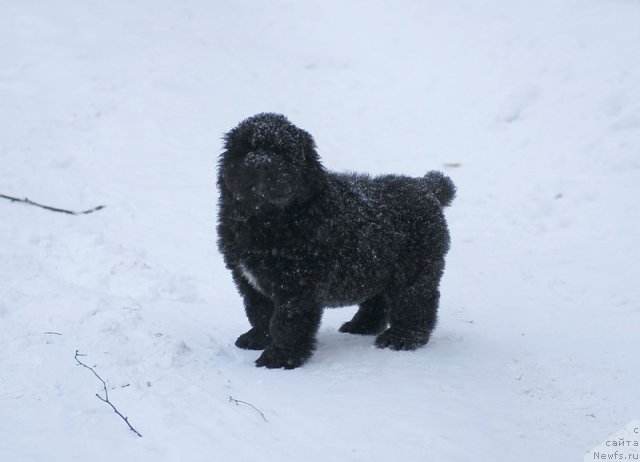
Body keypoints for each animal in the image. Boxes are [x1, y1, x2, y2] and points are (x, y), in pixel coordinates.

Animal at [219, 113, 456, 370]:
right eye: (247, 149)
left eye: (283, 153)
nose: (262, 163)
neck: (268, 217)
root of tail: (425, 187)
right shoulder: (248, 279)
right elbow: (259, 311)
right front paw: (258, 338)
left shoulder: (298, 284)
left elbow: (287, 321)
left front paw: (279, 357)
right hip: (376, 264)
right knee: (379, 299)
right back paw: (362, 325)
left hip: (413, 269)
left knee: (416, 303)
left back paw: (402, 337)